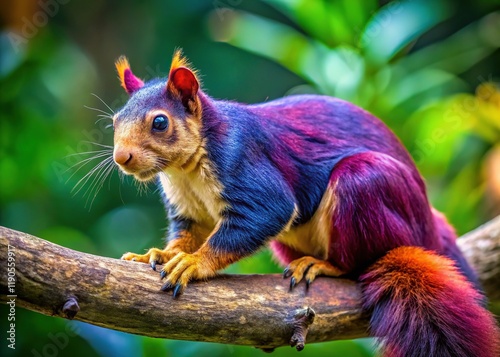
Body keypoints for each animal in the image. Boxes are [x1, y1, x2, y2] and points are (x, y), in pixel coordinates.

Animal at [111, 49, 498, 354]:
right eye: (114, 120)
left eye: (160, 122)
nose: (121, 158)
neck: (184, 170)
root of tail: (429, 230)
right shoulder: (189, 208)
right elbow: (189, 233)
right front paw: (161, 254)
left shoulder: (243, 163)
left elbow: (264, 215)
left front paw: (192, 264)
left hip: (367, 186)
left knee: (356, 262)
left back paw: (324, 265)